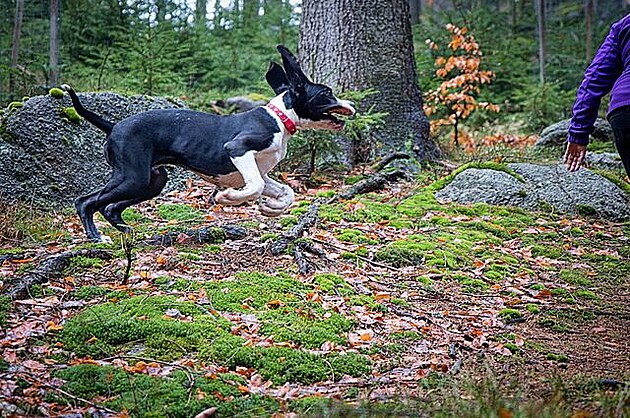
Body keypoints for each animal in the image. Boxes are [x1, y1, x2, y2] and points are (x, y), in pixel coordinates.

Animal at [65, 45, 358, 242]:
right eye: (327, 93)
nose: (352, 104)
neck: (279, 118)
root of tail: (114, 126)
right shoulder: (238, 150)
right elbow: (255, 186)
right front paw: (227, 198)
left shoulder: (260, 170)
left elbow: (286, 191)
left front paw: (270, 209)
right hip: (132, 177)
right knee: (86, 201)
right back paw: (96, 236)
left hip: (152, 181)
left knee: (110, 207)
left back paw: (126, 230)